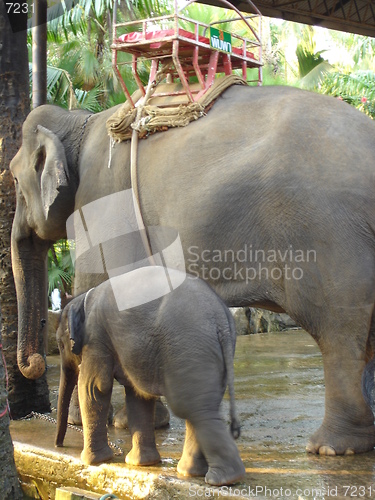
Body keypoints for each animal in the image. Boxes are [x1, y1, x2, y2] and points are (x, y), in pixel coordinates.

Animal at [10, 85, 375, 458]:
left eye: (12, 178)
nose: (35, 363)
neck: (80, 121)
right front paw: (138, 423)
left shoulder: (99, 204)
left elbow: (95, 288)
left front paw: (85, 422)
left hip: (329, 237)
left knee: (336, 329)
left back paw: (330, 448)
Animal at [54, 268, 245, 486]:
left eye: (60, 345)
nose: (59, 446)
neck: (83, 298)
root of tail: (221, 317)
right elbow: (138, 397)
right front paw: (140, 463)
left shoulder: (96, 338)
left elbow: (94, 387)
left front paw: (92, 461)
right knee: (201, 409)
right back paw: (192, 473)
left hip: (189, 348)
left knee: (192, 407)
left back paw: (221, 478)